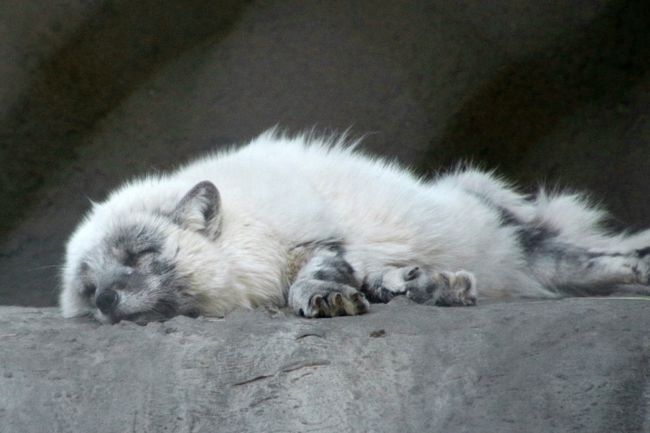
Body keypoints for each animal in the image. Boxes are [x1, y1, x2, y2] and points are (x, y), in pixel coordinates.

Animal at [58, 130, 648, 322]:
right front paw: (412, 285)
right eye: (87, 288)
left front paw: (322, 297)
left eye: (139, 257)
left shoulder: (313, 236)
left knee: (607, 262)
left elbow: (311, 275)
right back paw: (435, 285)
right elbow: (369, 277)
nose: (106, 300)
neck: (249, 227)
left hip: (539, 249)